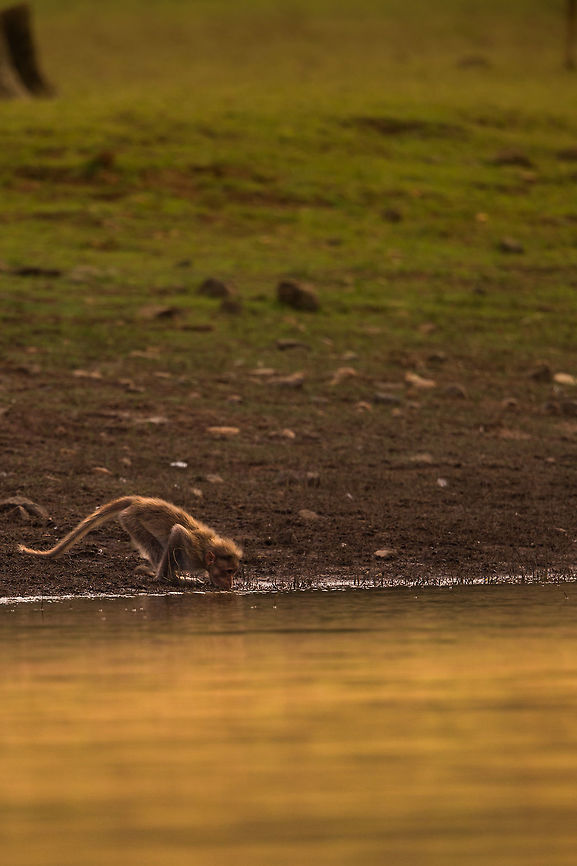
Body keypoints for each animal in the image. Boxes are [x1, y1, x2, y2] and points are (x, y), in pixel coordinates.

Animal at [18, 496, 242, 590]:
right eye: (228, 571)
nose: (231, 584)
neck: (205, 553)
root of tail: (139, 501)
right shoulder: (192, 550)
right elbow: (177, 532)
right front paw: (165, 578)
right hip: (131, 519)